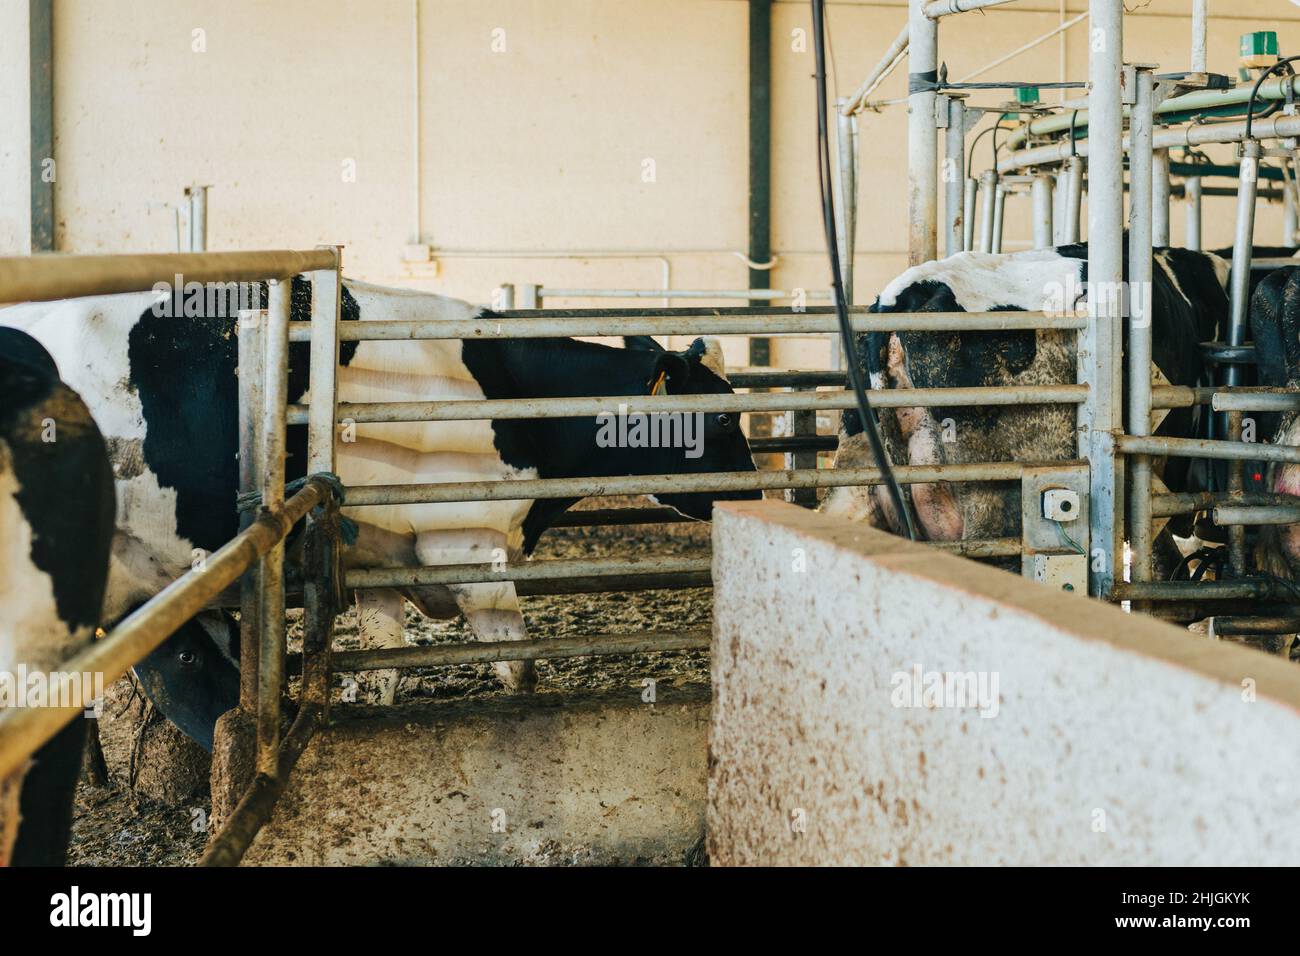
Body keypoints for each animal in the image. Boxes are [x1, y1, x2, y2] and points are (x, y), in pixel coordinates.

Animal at [2, 280, 754, 743]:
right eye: (719, 420)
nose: (756, 494)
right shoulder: (466, 546)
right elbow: (517, 663)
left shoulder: (380, 561)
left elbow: (385, 666)